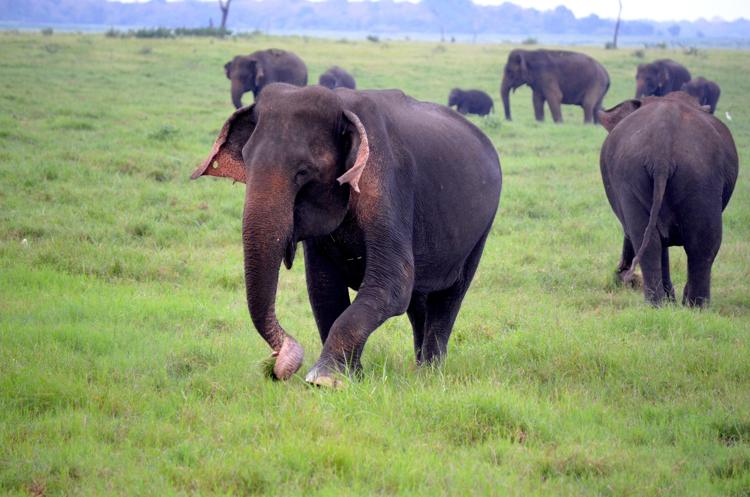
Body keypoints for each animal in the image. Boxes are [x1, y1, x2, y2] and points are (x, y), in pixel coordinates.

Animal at [191, 83, 502, 388]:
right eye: (246, 160)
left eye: (303, 171)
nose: (275, 366)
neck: (342, 105)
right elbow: (323, 287)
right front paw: (352, 376)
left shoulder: (385, 182)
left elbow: (393, 282)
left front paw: (324, 379)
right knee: (419, 301)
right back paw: (420, 369)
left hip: (481, 230)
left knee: (449, 296)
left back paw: (430, 373)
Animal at [600, 90, 740, 306]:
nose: (621, 273)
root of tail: (662, 149)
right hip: (697, 176)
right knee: (701, 243)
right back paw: (689, 306)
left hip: (646, 174)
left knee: (655, 240)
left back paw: (669, 305)